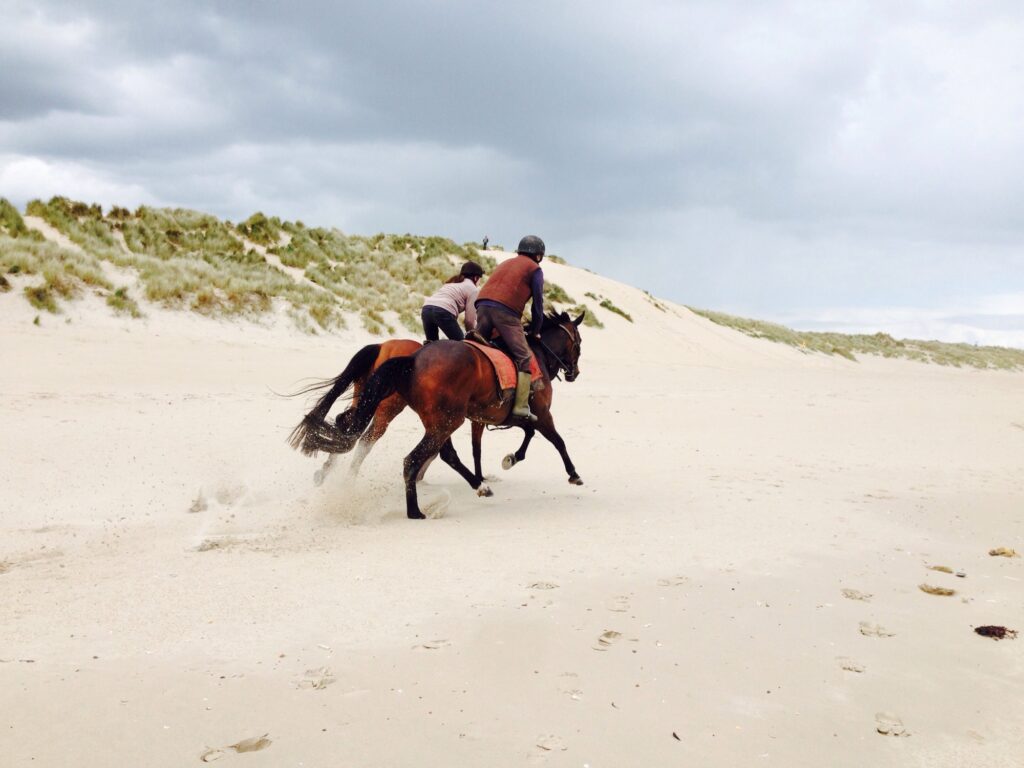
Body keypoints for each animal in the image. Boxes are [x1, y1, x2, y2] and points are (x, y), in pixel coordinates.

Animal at [289, 310, 585, 519]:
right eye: (579, 343)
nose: (574, 373)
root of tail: (405, 356)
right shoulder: (540, 414)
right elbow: (556, 440)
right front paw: (572, 473)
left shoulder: (495, 417)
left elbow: (515, 436)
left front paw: (506, 461)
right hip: (418, 414)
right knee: (381, 446)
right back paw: (415, 507)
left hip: (419, 413)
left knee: (351, 430)